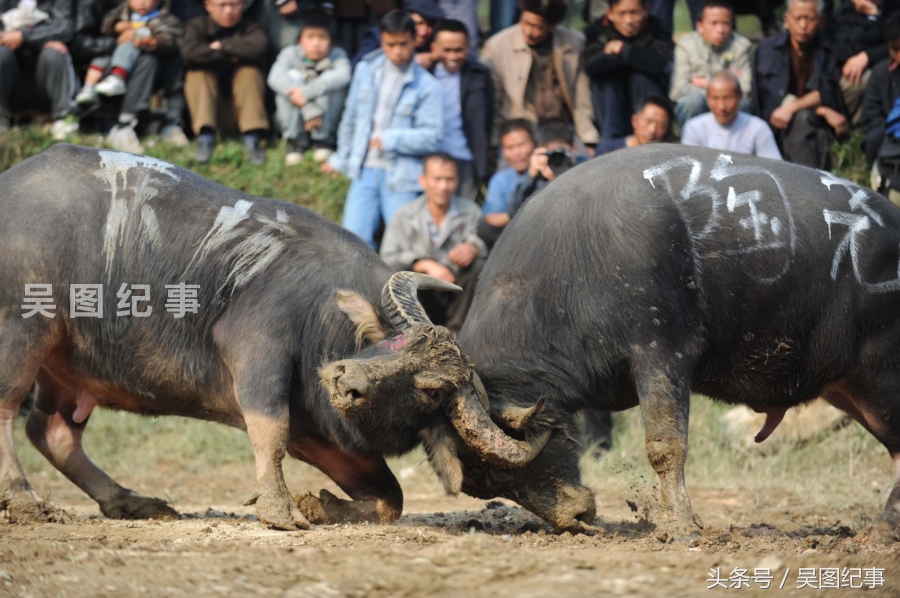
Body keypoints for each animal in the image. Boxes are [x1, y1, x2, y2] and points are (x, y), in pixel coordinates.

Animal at [0, 144, 528, 528]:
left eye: (430, 390)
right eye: (394, 345)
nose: (347, 379)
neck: (321, 317)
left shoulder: (325, 435)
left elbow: (390, 497)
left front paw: (320, 505)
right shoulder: (258, 350)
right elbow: (269, 429)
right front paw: (280, 510)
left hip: (66, 368)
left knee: (51, 431)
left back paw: (131, 501)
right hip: (22, 328)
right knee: (9, 409)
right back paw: (25, 501)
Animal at [420, 144, 900, 544]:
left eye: (498, 471)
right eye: (486, 483)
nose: (573, 519)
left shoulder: (662, 351)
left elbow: (665, 445)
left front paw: (683, 528)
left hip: (881, 374)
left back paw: (878, 534)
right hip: (850, 389)